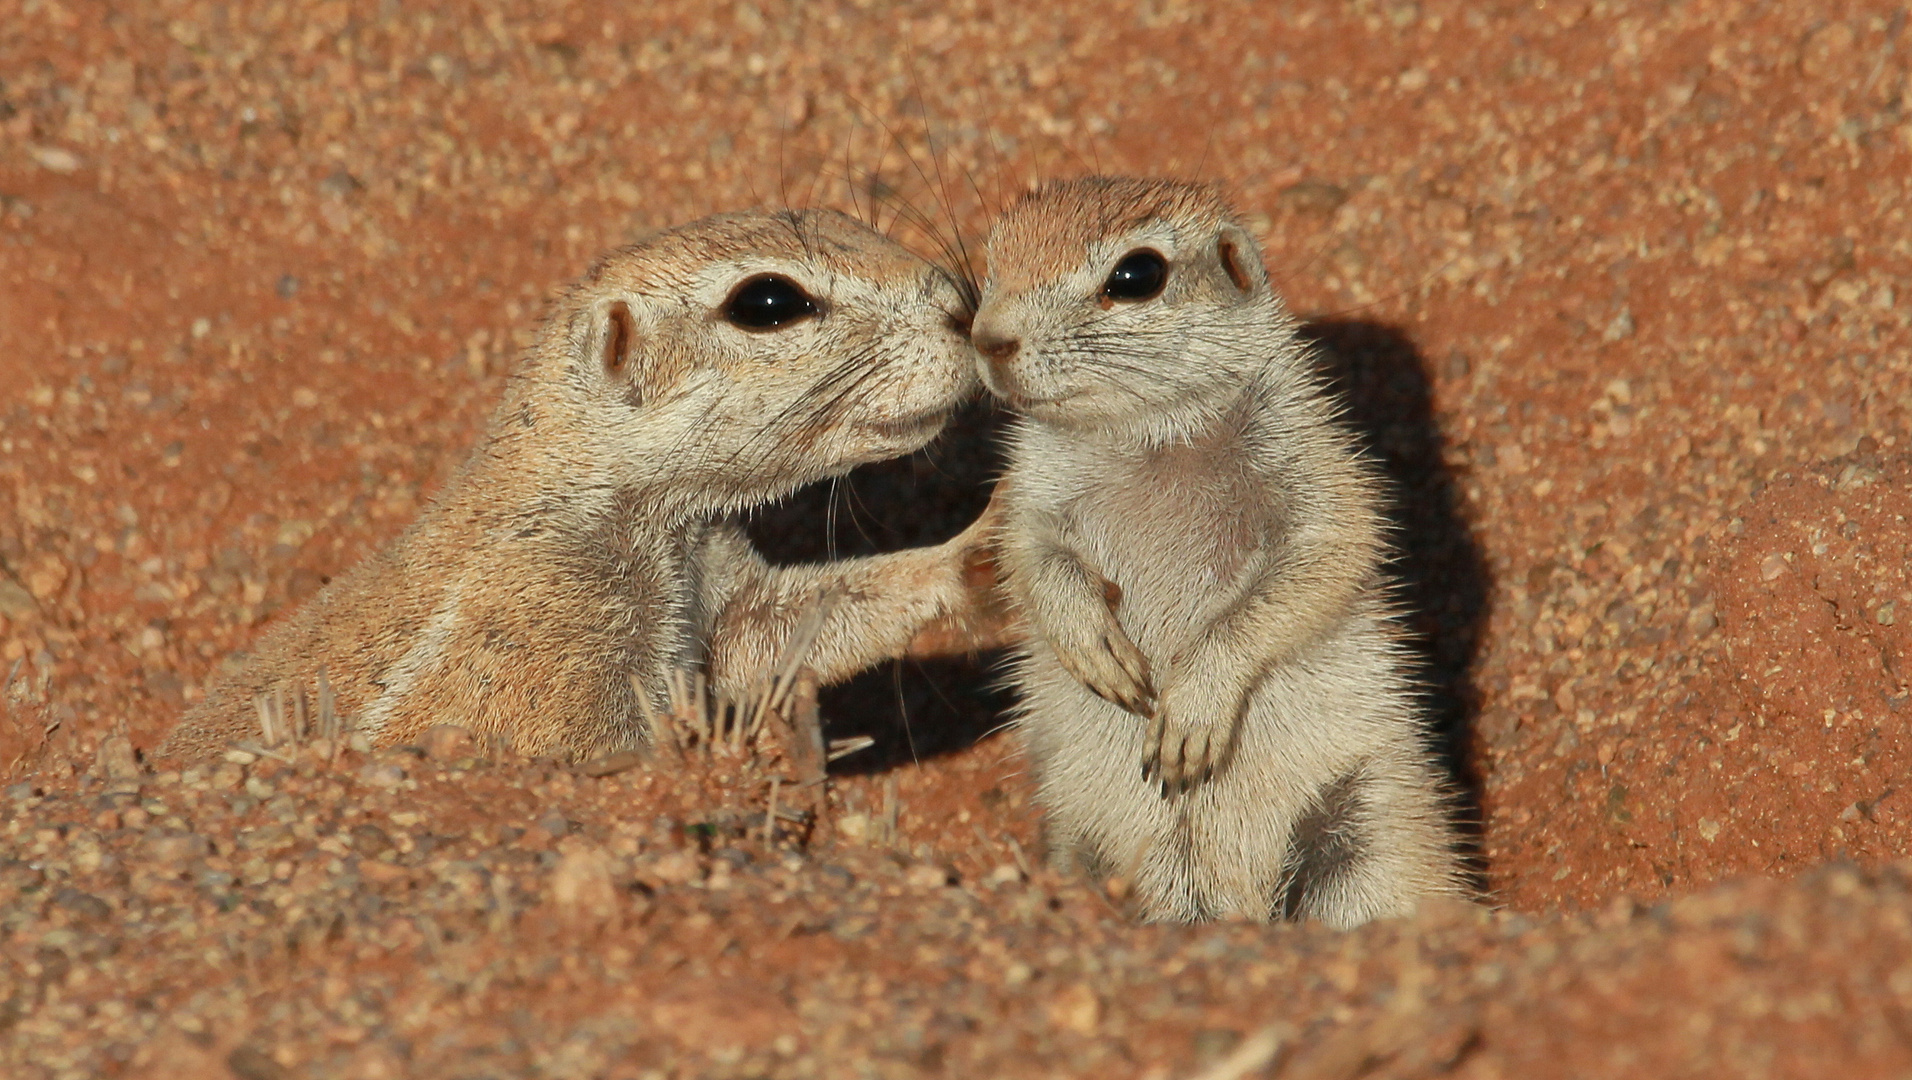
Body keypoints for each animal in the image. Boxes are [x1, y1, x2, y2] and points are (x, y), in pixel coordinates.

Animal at [166, 206, 1009, 760]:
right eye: (767, 303)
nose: (960, 304)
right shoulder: (545, 631)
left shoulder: (720, 591)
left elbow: (782, 626)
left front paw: (979, 551)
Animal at [971, 176, 1460, 925]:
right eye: (992, 256)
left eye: (1137, 276)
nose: (987, 339)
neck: (1149, 435)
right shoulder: (1029, 492)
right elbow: (1028, 555)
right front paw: (1093, 643)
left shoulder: (1316, 476)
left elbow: (1320, 560)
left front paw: (1193, 704)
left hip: (1372, 833)